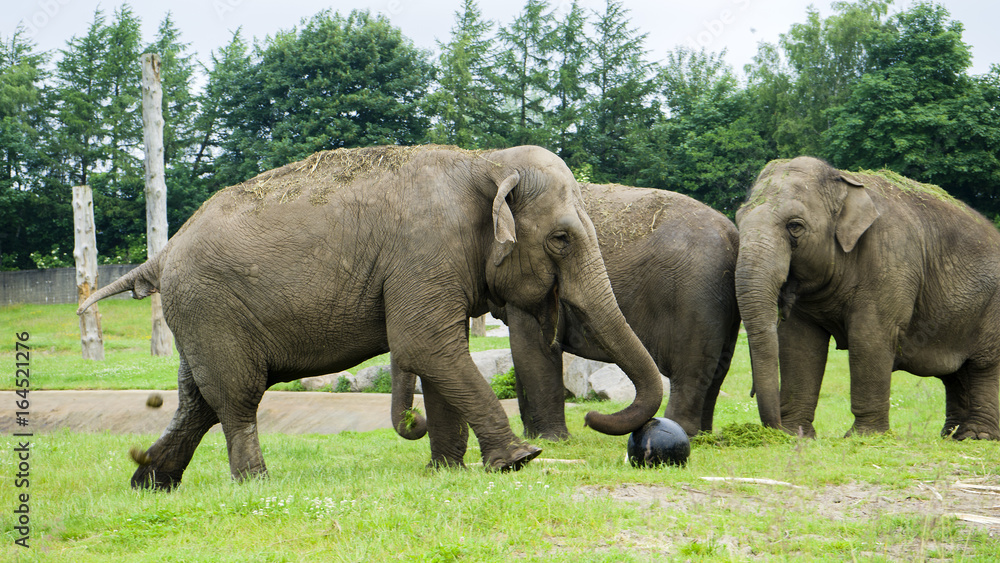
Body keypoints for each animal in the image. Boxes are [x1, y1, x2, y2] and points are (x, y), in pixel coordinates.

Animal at [82, 144, 668, 490]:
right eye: (562, 239)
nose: (594, 419)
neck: (484, 160)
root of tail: (162, 254)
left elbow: (437, 351)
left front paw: (445, 472)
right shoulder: (425, 248)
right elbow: (427, 344)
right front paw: (520, 460)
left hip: (200, 317)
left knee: (197, 401)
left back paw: (149, 480)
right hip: (212, 309)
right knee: (236, 396)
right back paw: (256, 484)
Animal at [390, 183, 744, 442]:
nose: (588, 419)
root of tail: (733, 234)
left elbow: (531, 349)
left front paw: (552, 440)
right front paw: (535, 436)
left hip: (695, 295)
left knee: (691, 369)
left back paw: (683, 432)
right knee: (718, 368)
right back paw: (705, 435)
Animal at [736, 156, 1000, 442]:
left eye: (795, 226)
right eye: (738, 220)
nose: (774, 429)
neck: (844, 182)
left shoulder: (891, 259)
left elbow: (869, 336)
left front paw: (864, 437)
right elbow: (799, 343)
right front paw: (798, 436)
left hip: (992, 306)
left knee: (984, 365)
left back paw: (976, 436)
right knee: (954, 373)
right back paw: (949, 435)